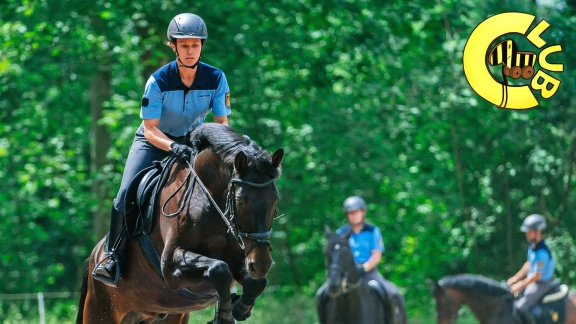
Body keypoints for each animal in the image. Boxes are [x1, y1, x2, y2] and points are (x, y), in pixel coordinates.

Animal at [76, 123, 284, 322]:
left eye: (275, 199)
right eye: (240, 201)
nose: (261, 264)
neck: (208, 197)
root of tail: (93, 257)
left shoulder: (240, 257)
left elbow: (257, 281)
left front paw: (240, 308)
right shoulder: (171, 265)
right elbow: (219, 269)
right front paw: (225, 313)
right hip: (100, 310)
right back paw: (107, 266)